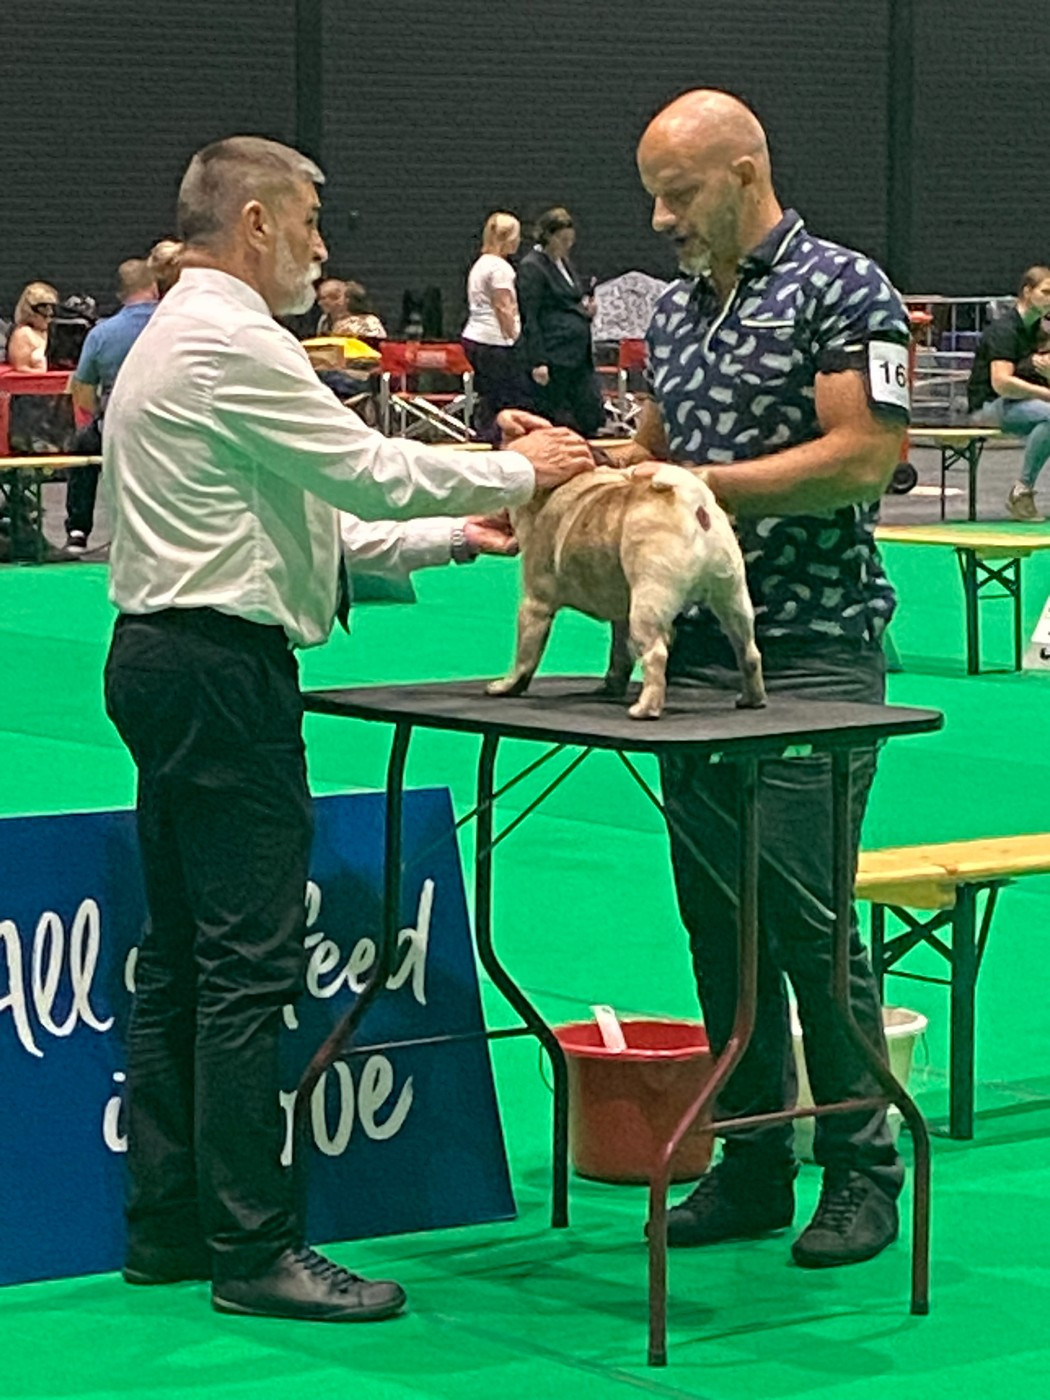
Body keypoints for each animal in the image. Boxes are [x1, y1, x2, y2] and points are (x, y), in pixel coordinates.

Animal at [486, 462, 765, 719]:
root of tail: (695, 505)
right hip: (732, 599)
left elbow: (525, 656)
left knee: (655, 654)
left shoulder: (535, 605)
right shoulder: (621, 619)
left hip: (647, 605)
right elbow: (619, 655)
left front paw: (508, 686)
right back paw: (752, 699)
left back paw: (645, 709)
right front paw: (611, 686)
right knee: (748, 650)